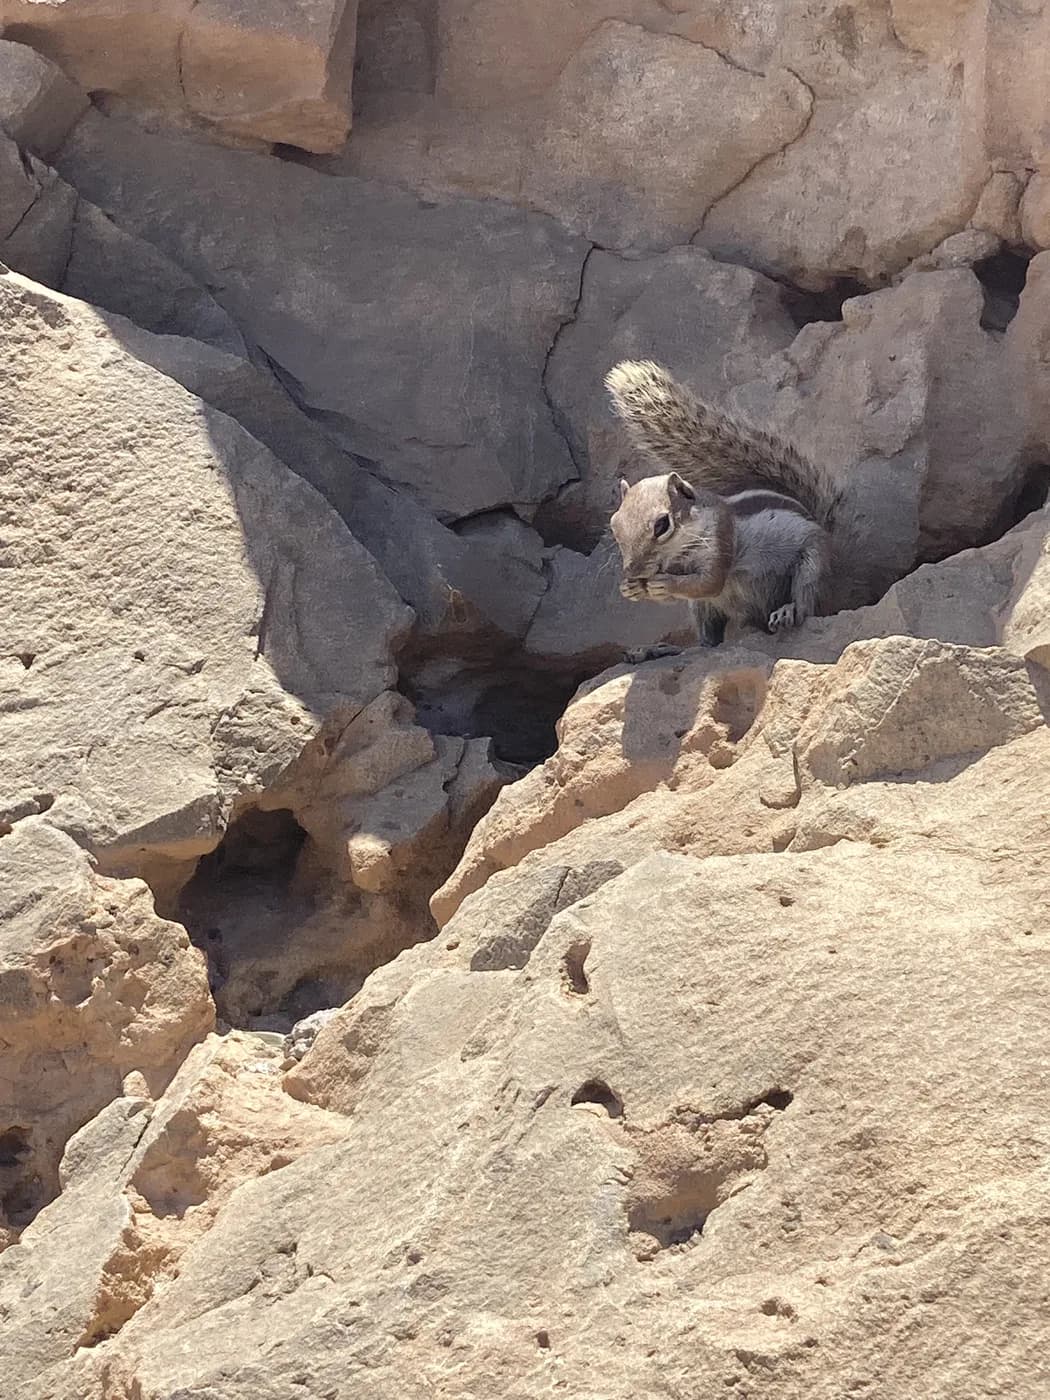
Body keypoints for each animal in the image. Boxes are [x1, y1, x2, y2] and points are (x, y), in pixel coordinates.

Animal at [605, 359, 856, 650]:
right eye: (614, 525)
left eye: (662, 525)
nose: (632, 571)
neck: (680, 552)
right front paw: (630, 588)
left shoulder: (720, 543)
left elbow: (708, 583)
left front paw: (665, 584)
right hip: (703, 609)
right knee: (708, 639)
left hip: (811, 561)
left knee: (806, 602)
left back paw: (787, 611)